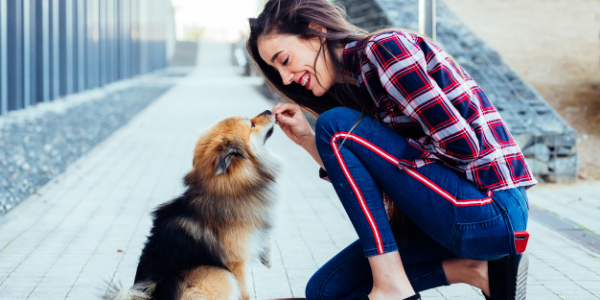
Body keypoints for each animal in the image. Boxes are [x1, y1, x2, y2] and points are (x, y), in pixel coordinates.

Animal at [102, 110, 278, 300]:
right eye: (251, 124)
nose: (269, 111)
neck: (227, 187)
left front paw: (267, 257)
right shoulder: (237, 262)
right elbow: (245, 291)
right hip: (219, 274)